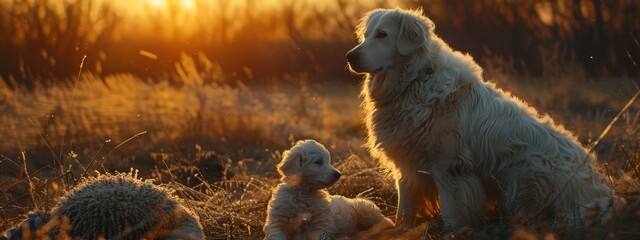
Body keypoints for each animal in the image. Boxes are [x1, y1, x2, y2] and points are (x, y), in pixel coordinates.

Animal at [262, 140, 392, 239]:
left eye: (328, 161)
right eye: (318, 162)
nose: (338, 174)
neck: (304, 193)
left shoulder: (320, 226)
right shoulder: (278, 224)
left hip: (366, 210)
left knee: (384, 221)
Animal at [344, 7, 624, 229]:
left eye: (382, 35)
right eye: (366, 35)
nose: (349, 56)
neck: (414, 82)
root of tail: (603, 192)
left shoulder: (448, 166)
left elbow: (451, 211)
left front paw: (452, 232)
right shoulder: (406, 163)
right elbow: (405, 206)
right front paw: (400, 230)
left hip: (529, 170)